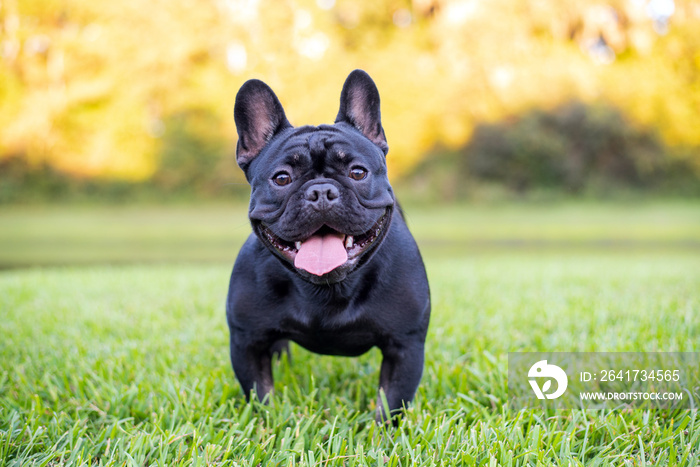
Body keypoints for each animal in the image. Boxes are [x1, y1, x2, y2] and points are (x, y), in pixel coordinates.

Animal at [227, 69, 430, 424]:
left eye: (358, 172)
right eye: (281, 178)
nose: (321, 191)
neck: (326, 289)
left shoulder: (405, 347)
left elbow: (390, 404)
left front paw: (381, 436)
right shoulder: (247, 342)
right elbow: (261, 394)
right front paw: (270, 426)